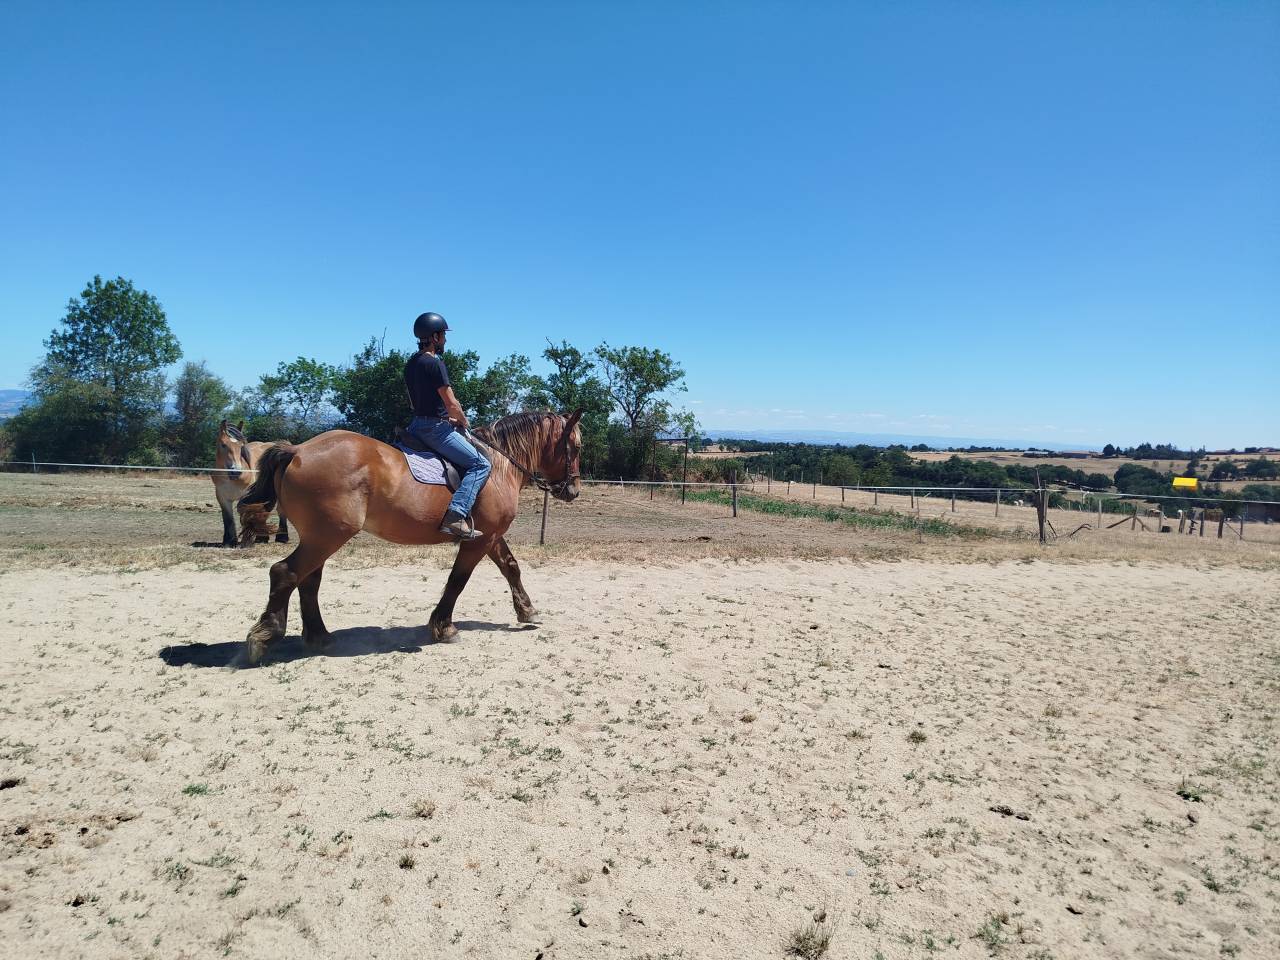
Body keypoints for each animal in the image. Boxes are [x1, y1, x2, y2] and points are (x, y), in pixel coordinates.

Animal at [235, 410, 582, 665]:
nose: (573, 490)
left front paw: (527, 611)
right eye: (576, 447)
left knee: (307, 580)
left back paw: (319, 637)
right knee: (285, 573)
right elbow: (458, 580)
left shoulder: (491, 536)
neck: (497, 467)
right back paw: (265, 636)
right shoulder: (478, 540)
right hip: (327, 535)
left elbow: (511, 567)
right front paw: (443, 627)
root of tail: (297, 450)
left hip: (319, 537)